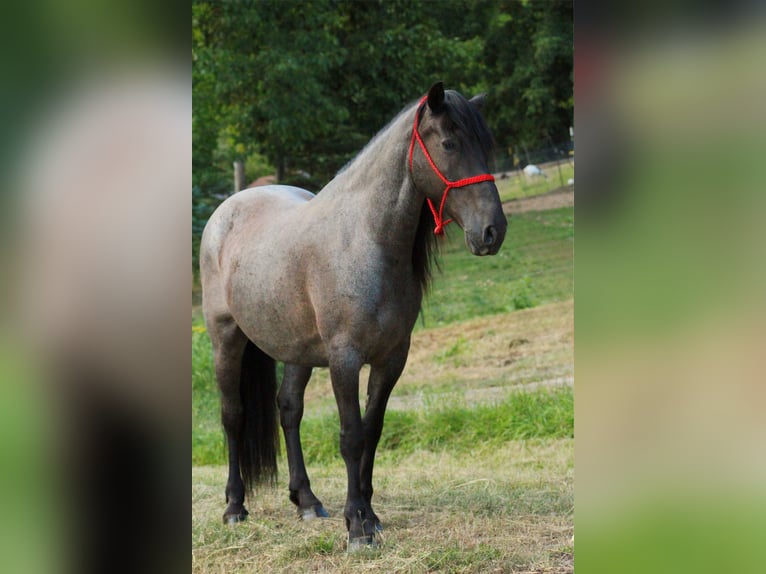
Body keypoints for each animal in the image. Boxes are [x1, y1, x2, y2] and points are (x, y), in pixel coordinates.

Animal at [201, 83, 508, 552]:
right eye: (450, 144)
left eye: (485, 146)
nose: (493, 231)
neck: (364, 241)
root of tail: (227, 208)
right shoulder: (344, 359)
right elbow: (351, 436)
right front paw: (358, 526)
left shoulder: (392, 358)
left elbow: (373, 430)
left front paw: (369, 514)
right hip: (226, 338)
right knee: (233, 415)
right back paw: (235, 507)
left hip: (296, 350)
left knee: (288, 410)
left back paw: (307, 501)